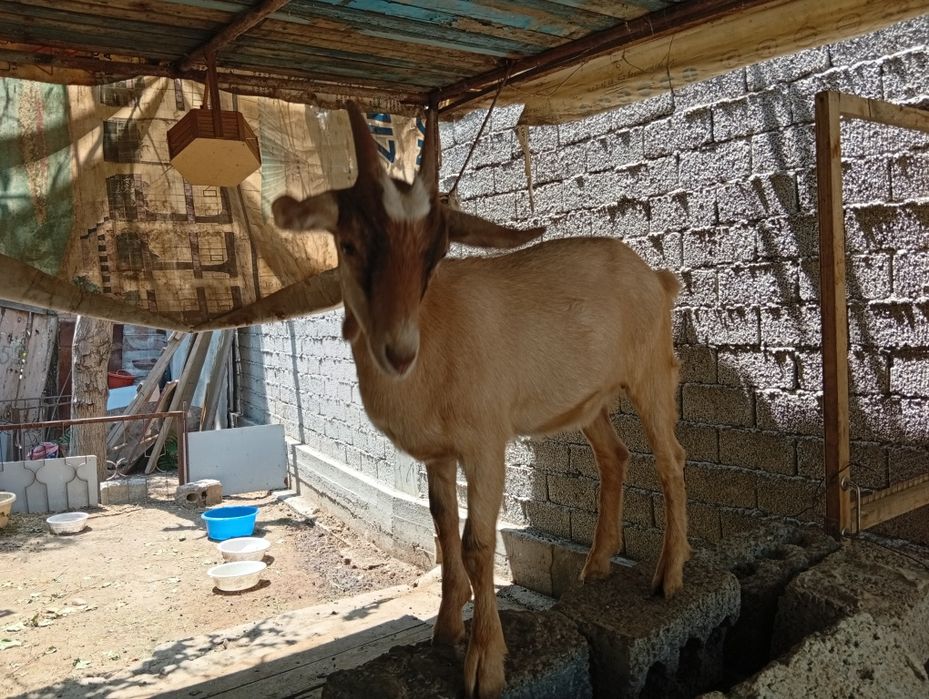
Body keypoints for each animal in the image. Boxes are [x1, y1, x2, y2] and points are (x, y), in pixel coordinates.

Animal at [273, 103, 690, 698]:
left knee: (670, 459)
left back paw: (668, 576)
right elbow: (443, 527)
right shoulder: (439, 454)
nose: (398, 351)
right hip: (588, 401)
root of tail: (656, 275)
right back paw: (596, 567)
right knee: (615, 456)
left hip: (652, 372)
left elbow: (476, 542)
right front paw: (445, 632)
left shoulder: (486, 442)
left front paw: (484, 664)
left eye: (437, 253)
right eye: (349, 244)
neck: (434, 336)